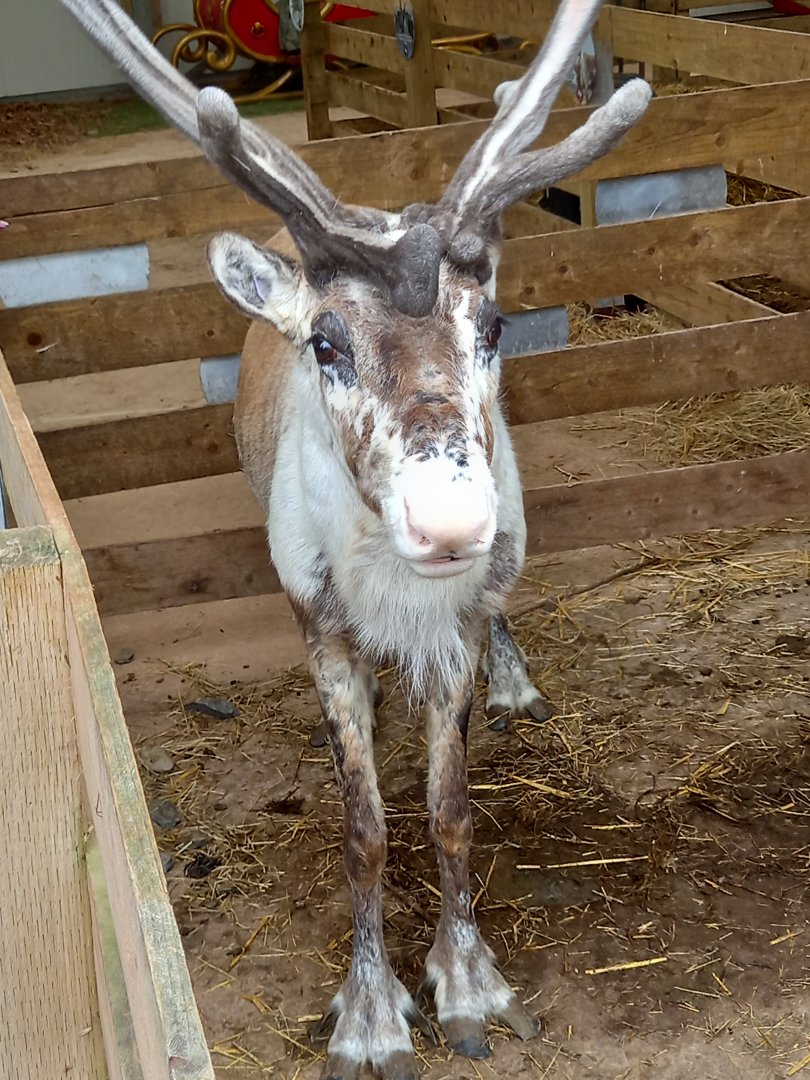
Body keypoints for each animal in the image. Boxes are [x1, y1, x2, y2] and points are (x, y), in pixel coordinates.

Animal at [60, 1, 650, 1075]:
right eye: (325, 342)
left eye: (493, 326)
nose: (451, 519)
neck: (397, 597)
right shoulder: (320, 624)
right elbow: (364, 828)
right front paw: (372, 1017)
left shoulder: (456, 624)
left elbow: (452, 812)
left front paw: (469, 988)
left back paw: (515, 684)